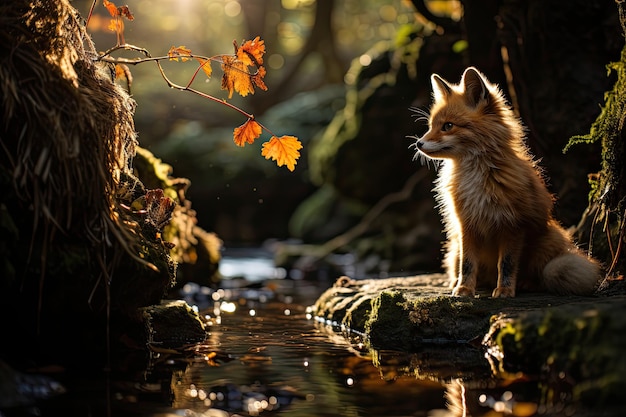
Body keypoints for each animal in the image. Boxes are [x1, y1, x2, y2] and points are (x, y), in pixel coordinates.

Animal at [412, 66, 596, 296]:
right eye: (431, 126)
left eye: (447, 126)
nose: (418, 144)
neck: (478, 175)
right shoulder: (466, 225)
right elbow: (467, 264)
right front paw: (464, 289)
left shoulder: (512, 225)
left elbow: (507, 264)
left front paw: (505, 290)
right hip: (453, 250)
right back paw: (461, 283)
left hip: (544, 242)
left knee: (540, 273)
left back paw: (525, 283)